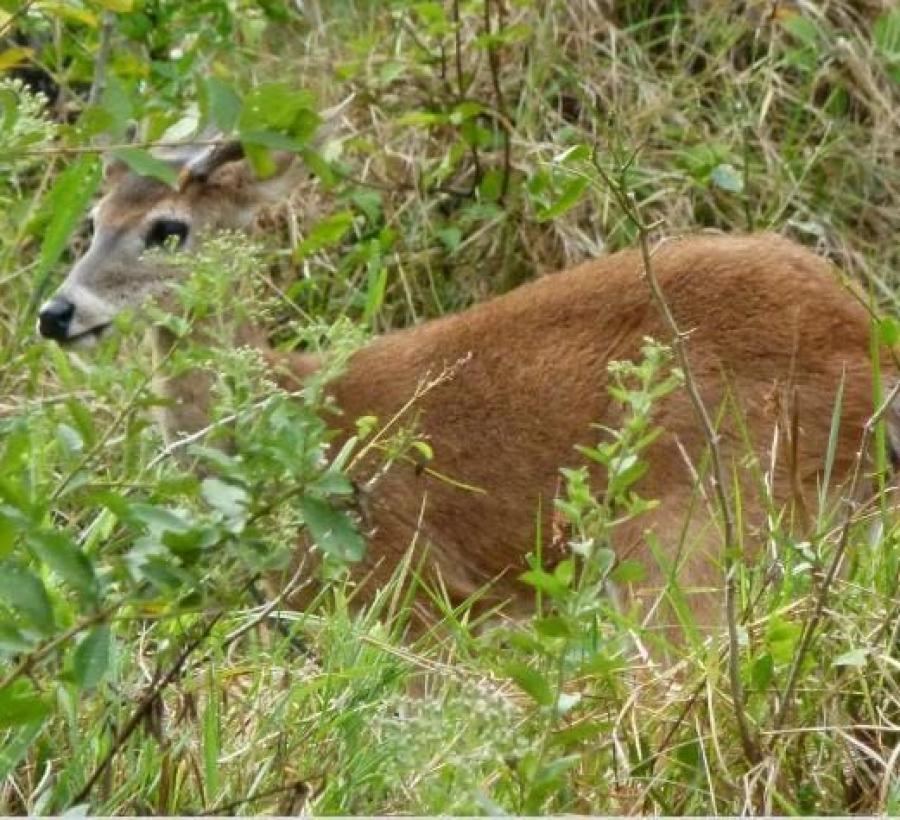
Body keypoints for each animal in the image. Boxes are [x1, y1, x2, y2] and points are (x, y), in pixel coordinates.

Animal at [35, 139, 892, 636]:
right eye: (92, 217)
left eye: (168, 229)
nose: (55, 312)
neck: (303, 418)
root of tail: (869, 343)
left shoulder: (412, 591)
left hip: (697, 527)